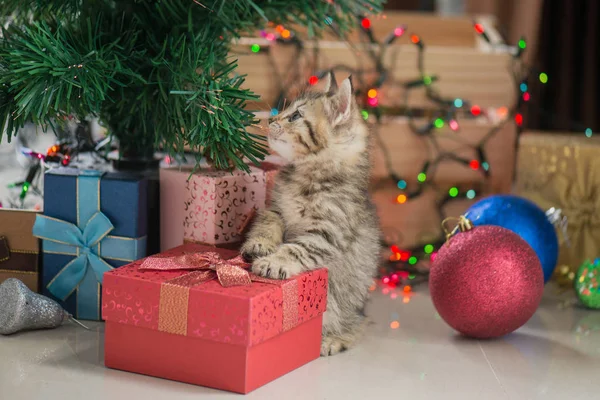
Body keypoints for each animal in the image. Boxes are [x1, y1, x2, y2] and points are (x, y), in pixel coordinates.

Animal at [239, 72, 380, 356]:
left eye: (295, 116)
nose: (271, 120)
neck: (307, 176)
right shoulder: (276, 209)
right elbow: (267, 224)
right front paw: (260, 245)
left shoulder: (327, 232)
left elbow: (296, 249)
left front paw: (273, 262)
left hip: (347, 304)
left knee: (357, 323)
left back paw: (333, 339)